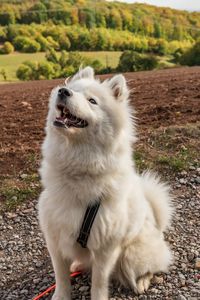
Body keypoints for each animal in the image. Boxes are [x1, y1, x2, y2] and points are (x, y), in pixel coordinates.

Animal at [38, 67, 173, 300]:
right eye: (73, 89)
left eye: (92, 101)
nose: (63, 91)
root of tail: (158, 224)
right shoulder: (55, 237)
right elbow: (61, 277)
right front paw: (61, 295)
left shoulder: (105, 247)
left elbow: (99, 282)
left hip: (131, 255)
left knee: (150, 268)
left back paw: (142, 282)